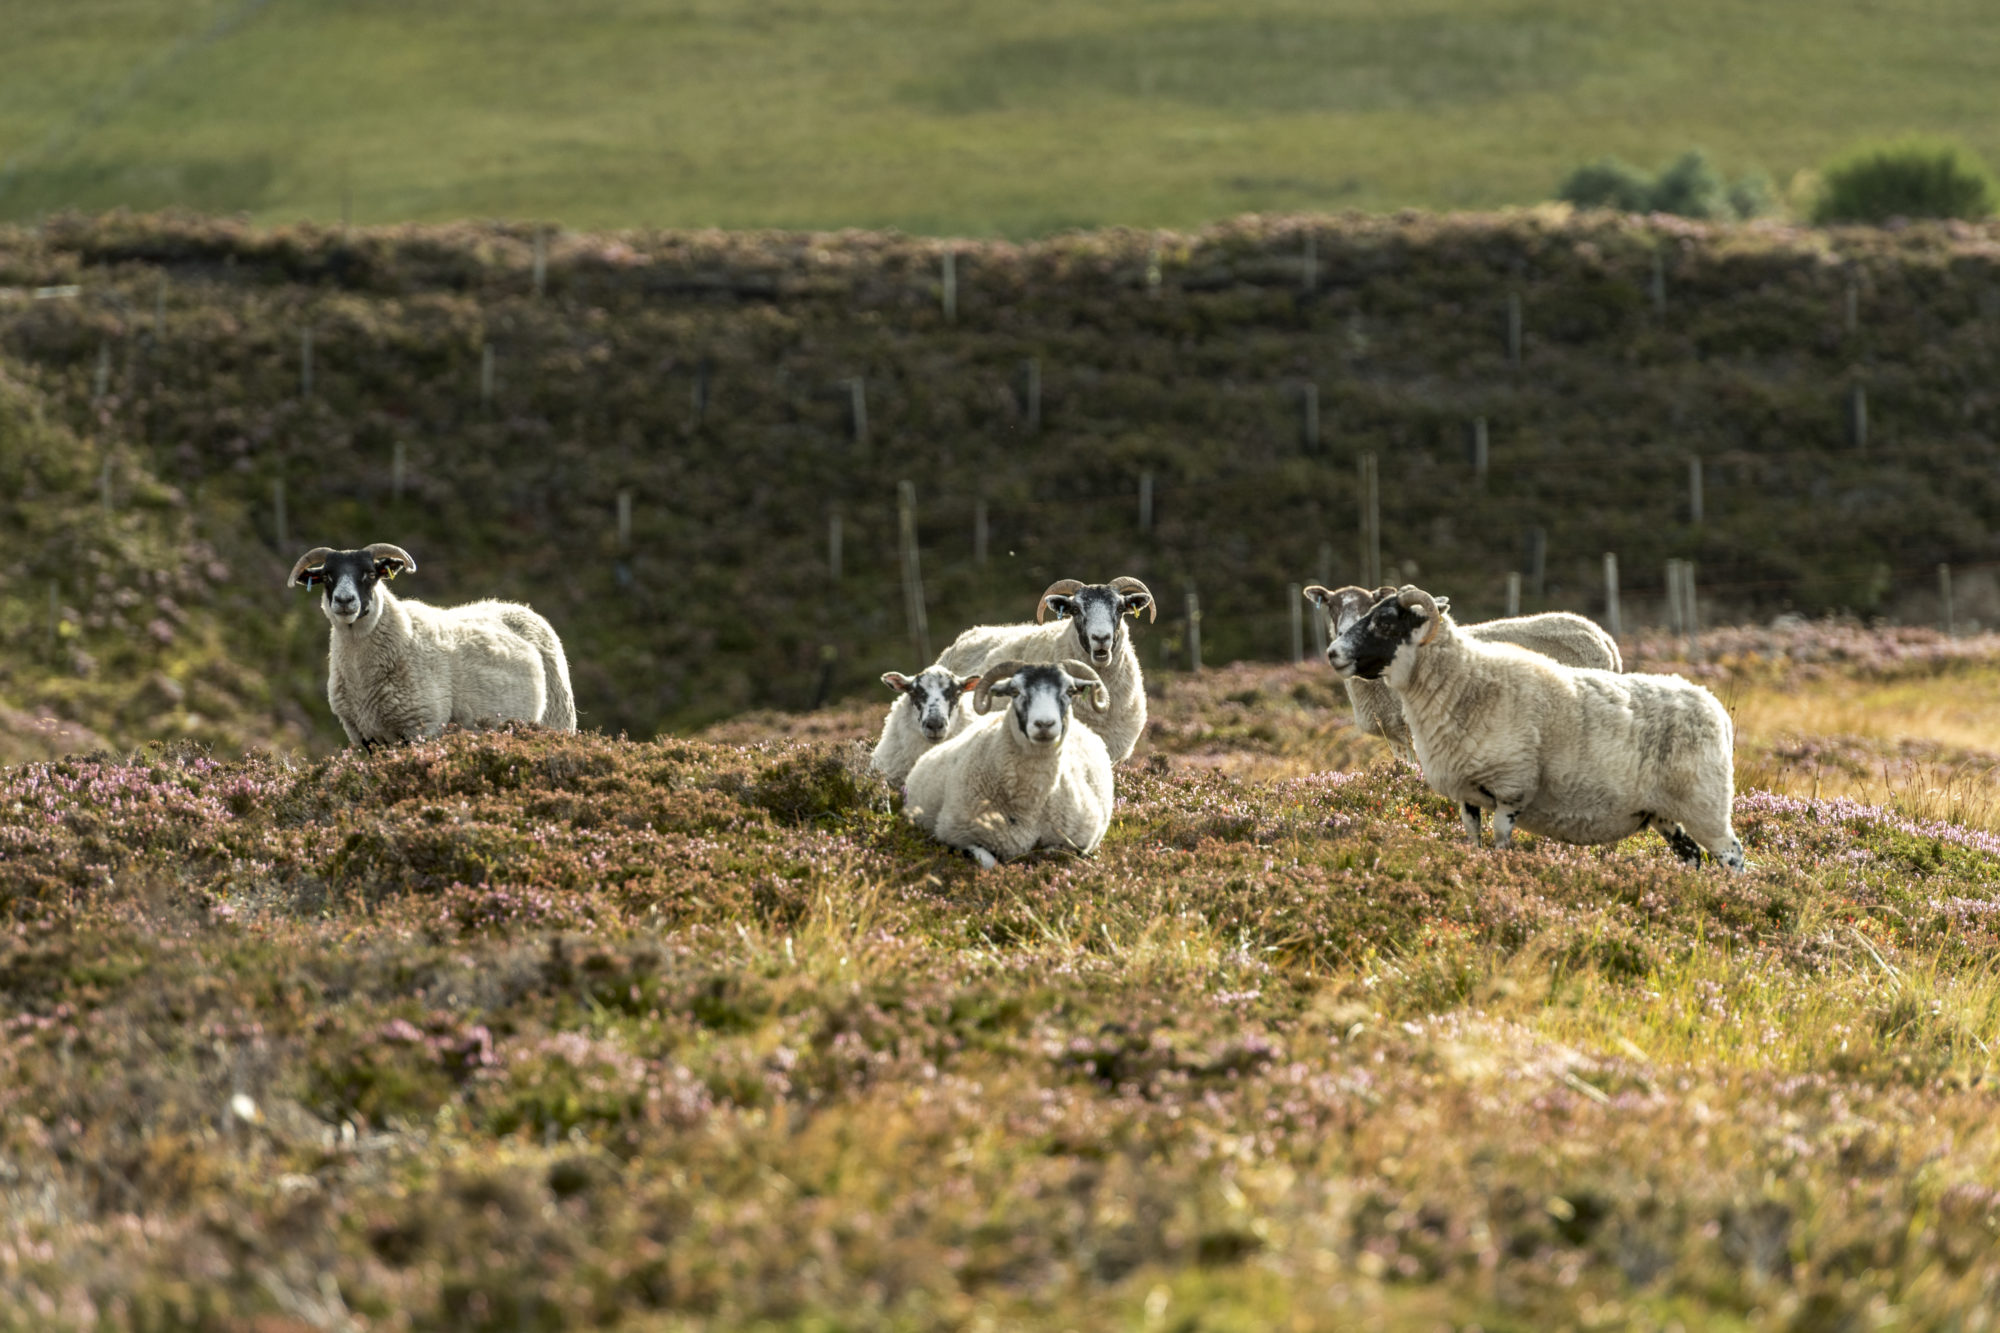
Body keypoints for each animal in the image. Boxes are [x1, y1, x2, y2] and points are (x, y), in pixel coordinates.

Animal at [286, 540, 580, 748]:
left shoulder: (422, 726)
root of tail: (521, 608)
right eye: (327, 576)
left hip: (558, 720)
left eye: (371, 574)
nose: (344, 601)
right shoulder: (364, 735)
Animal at [904, 656, 1120, 872]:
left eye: (1070, 691)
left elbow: (1053, 853)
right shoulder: (955, 836)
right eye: (1015, 691)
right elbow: (989, 863)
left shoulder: (1080, 842)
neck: (1029, 804)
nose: (1044, 724)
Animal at [1336, 584, 1744, 872]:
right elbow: (1474, 843)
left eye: (1385, 622)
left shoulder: (1512, 788)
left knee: (1732, 854)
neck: (1464, 681)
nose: (1332, 653)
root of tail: (1714, 707)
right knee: (1691, 856)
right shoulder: (1467, 794)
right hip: (1663, 812)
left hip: (1705, 802)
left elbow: (1501, 843)